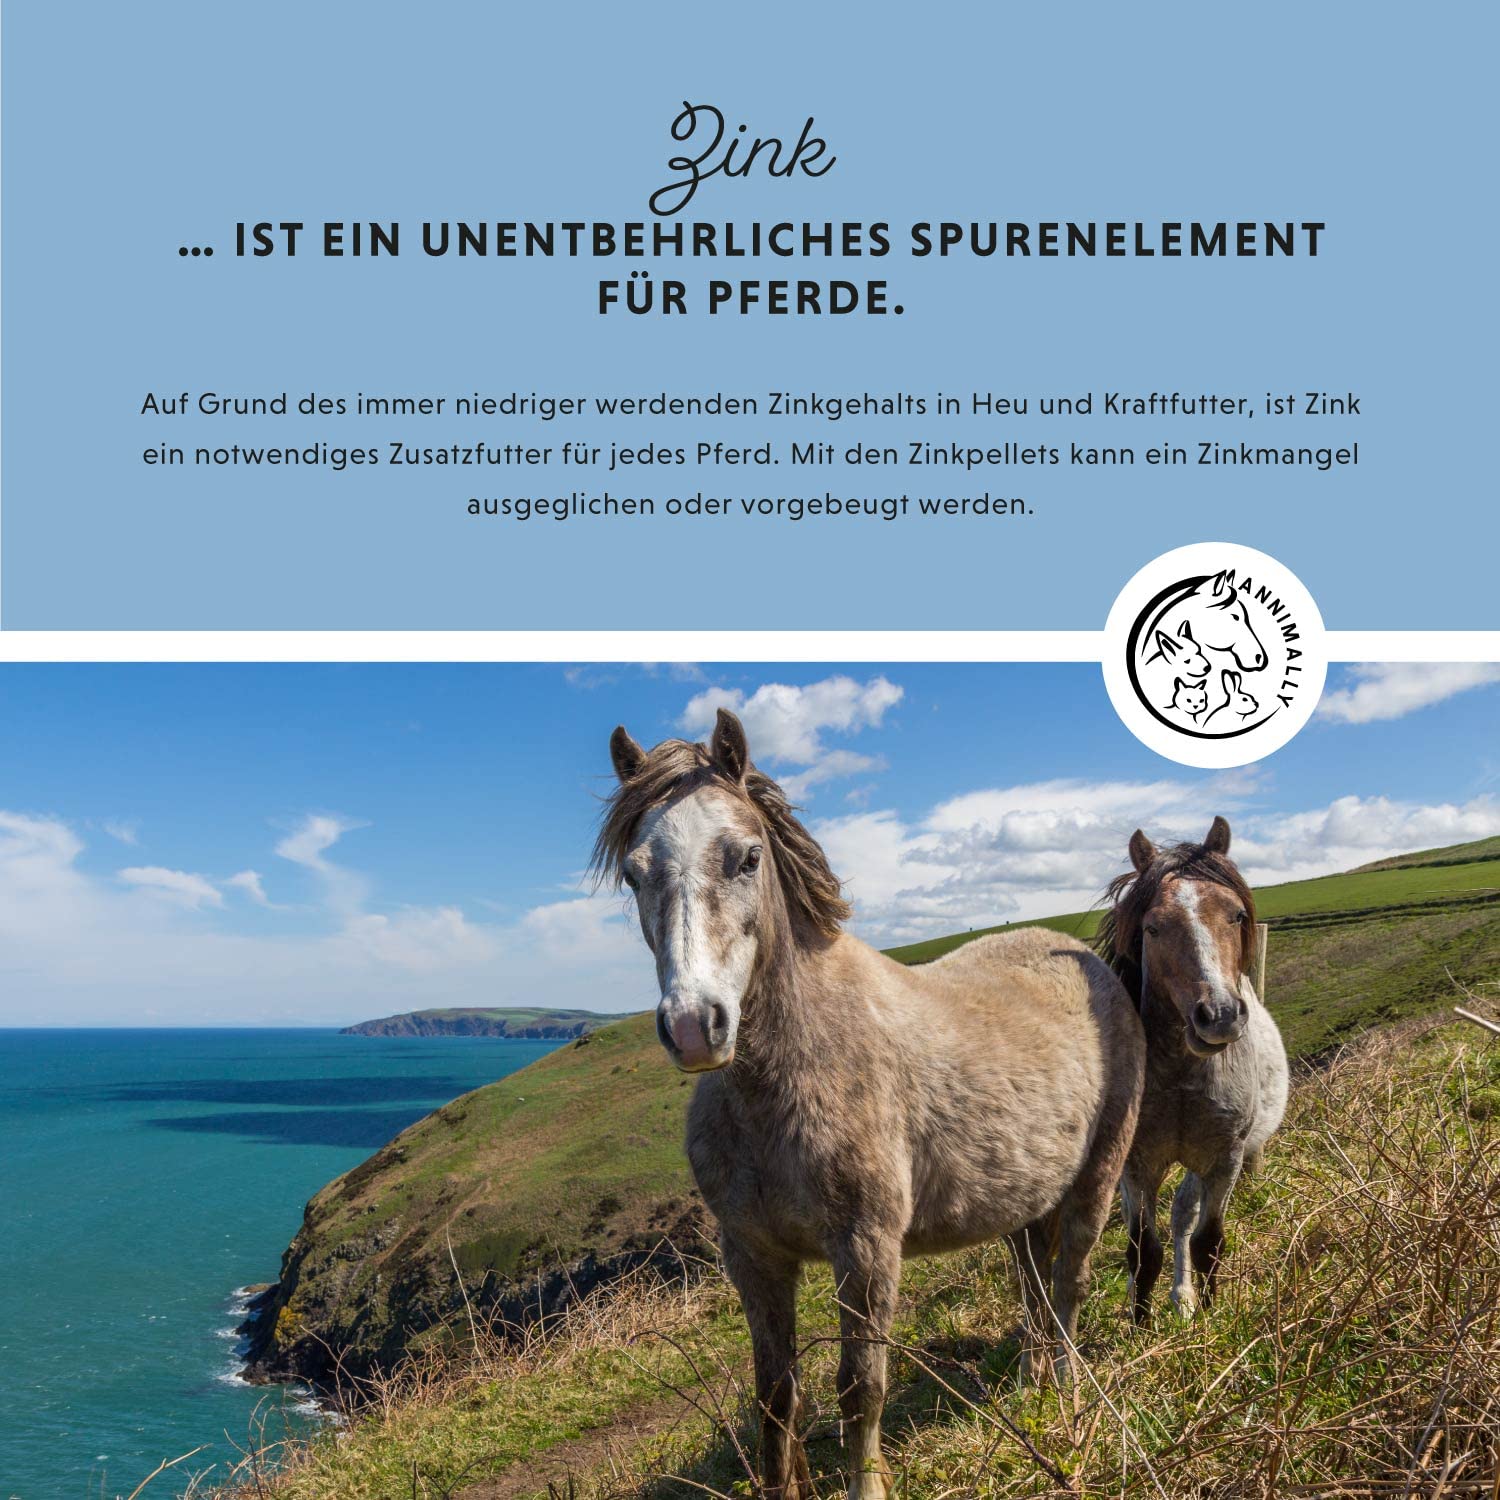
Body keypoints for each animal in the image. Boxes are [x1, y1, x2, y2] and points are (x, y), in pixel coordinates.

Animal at [594, 710, 1146, 1500]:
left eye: (746, 858)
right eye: (635, 873)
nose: (696, 1025)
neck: (781, 1086)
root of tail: (1086, 962)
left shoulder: (865, 1248)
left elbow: (861, 1388)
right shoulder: (754, 1256)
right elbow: (776, 1396)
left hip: (1097, 1179)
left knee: (1068, 1282)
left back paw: (1066, 1391)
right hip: (1022, 1202)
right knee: (1034, 1286)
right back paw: (1031, 1383)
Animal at [1096, 817, 1288, 1323]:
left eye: (1236, 915)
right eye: (1153, 928)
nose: (1218, 1015)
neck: (1183, 1078)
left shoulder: (1225, 1160)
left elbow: (1207, 1242)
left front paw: (1213, 1316)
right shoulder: (1138, 1165)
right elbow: (1143, 1251)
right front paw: (1139, 1327)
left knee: (1183, 1213)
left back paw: (1184, 1298)